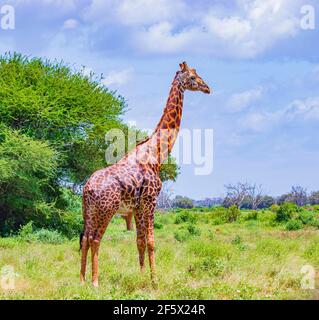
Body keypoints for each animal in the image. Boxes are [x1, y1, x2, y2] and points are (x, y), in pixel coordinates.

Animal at [80, 61, 211, 286]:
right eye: (193, 77)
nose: (207, 88)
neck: (156, 154)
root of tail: (88, 188)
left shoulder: (137, 206)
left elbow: (139, 241)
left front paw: (141, 277)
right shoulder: (150, 202)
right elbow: (150, 241)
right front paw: (155, 281)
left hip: (88, 211)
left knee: (85, 238)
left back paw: (81, 279)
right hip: (106, 210)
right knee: (96, 239)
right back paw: (95, 282)